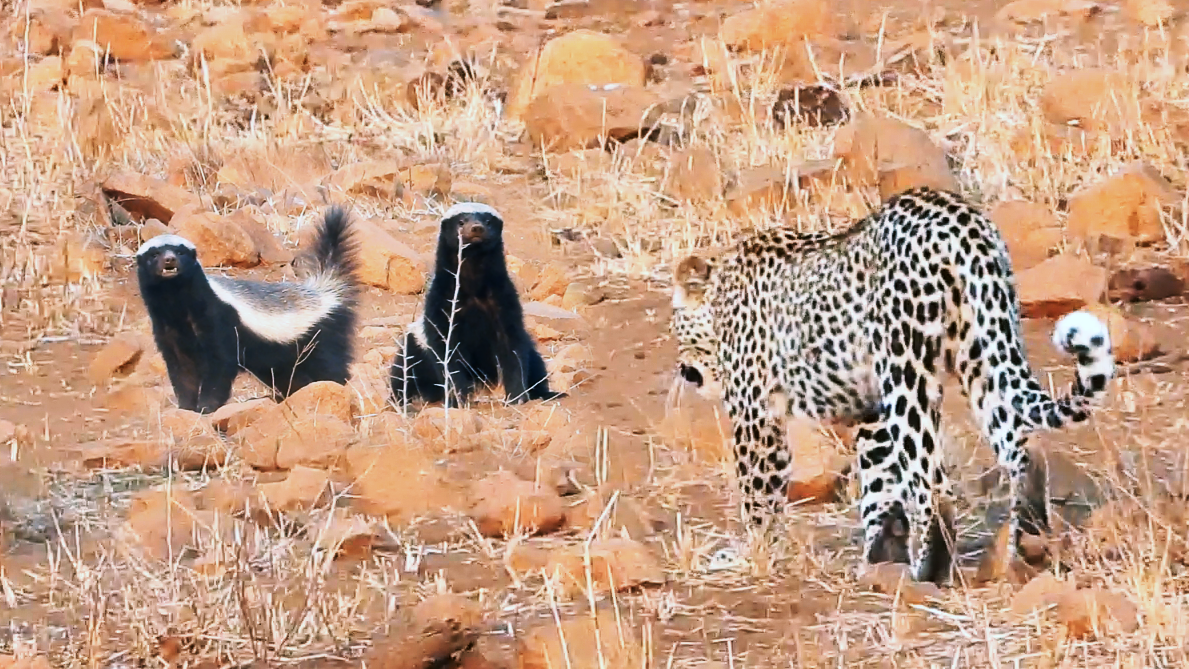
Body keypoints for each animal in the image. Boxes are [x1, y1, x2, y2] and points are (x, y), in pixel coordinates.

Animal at [669, 186, 1115, 584]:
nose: (683, 369)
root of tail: (963, 223)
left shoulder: (755, 414)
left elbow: (758, 496)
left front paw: (752, 556)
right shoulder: (872, 411)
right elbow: (879, 484)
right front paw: (879, 557)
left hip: (907, 370)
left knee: (933, 484)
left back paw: (928, 573)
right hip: (984, 348)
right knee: (1023, 453)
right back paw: (1028, 549)